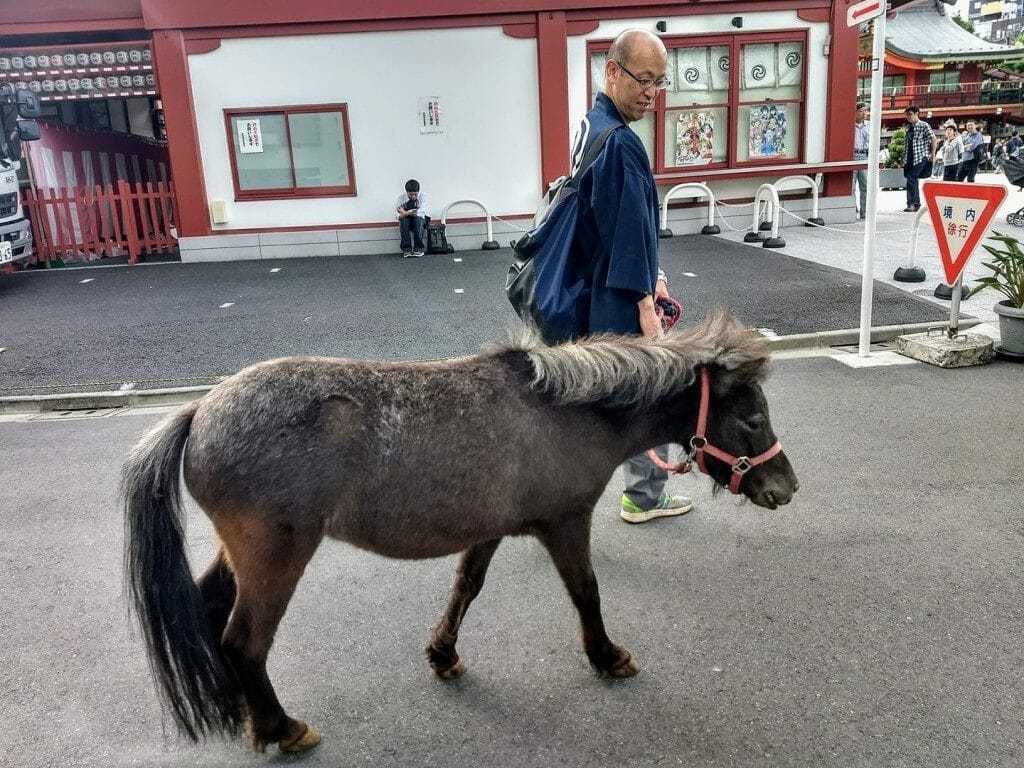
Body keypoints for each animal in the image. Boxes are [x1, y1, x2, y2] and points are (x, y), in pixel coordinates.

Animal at [121, 313, 798, 757]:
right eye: (752, 418)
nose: (786, 488)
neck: (565, 410)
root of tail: (200, 412)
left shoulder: (490, 528)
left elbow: (466, 586)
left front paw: (443, 654)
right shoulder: (565, 523)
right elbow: (587, 592)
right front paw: (607, 656)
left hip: (244, 554)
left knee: (211, 609)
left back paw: (245, 714)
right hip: (276, 556)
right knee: (243, 642)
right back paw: (281, 728)